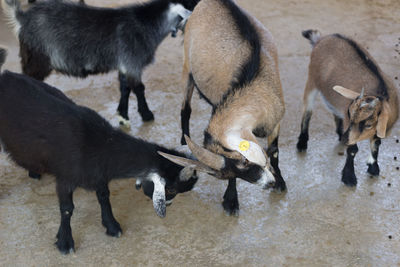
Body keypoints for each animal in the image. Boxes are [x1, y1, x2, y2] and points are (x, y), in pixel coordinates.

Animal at [0, 47, 198, 254]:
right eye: (171, 188)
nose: (169, 204)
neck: (97, 143)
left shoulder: (99, 176)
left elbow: (104, 197)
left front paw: (112, 226)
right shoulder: (65, 178)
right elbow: (67, 208)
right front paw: (65, 241)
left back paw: (34, 172)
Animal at [1, 0, 198, 128]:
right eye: (192, 3)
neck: (147, 24)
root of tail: (22, 18)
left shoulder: (124, 64)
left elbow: (125, 88)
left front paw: (123, 116)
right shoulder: (133, 61)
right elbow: (139, 88)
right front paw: (147, 115)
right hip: (37, 59)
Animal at [158, 0, 286, 217]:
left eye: (245, 163)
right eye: (239, 168)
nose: (268, 184)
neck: (252, 83)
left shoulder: (275, 120)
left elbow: (274, 151)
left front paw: (281, 183)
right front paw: (231, 202)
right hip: (187, 68)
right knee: (185, 109)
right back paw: (183, 139)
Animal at [296, 29, 398, 186]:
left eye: (368, 124)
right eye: (351, 116)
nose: (345, 139)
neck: (381, 94)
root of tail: (321, 39)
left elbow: (376, 144)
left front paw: (373, 168)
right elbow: (353, 150)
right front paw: (349, 177)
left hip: (329, 91)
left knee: (332, 107)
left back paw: (339, 132)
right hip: (312, 80)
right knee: (307, 111)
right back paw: (302, 142)